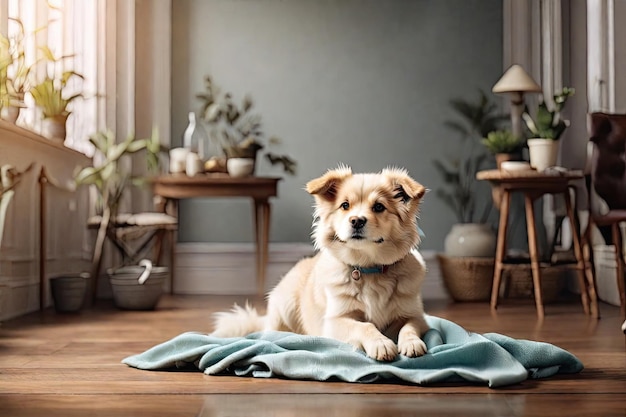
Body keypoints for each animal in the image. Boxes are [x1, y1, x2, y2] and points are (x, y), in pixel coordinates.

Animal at [211, 166, 428, 360]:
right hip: (285, 305)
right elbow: (365, 325)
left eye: (379, 207)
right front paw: (381, 343)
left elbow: (409, 326)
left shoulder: (416, 315)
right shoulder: (334, 321)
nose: (356, 221)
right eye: (345, 205)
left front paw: (411, 343)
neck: (368, 267)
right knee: (270, 332)